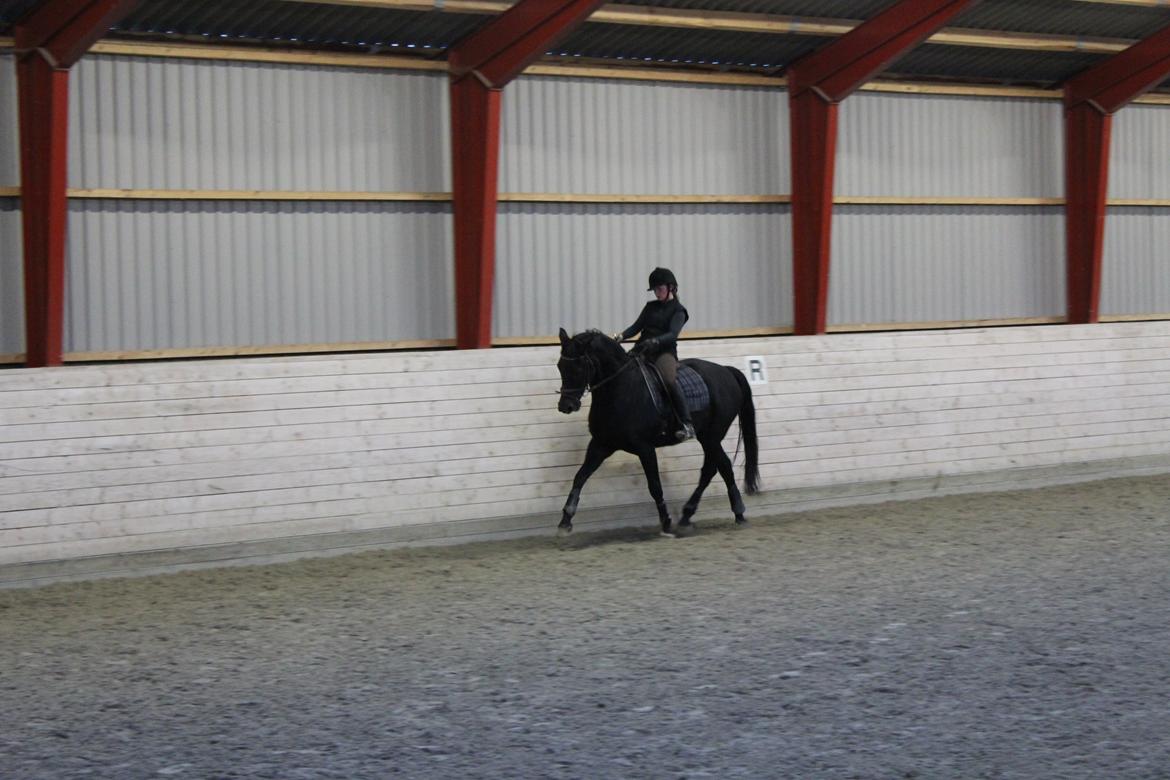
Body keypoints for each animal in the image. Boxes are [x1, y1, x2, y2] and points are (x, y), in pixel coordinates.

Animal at [554, 327, 758, 537]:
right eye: (560, 366)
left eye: (579, 367)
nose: (566, 406)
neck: (620, 390)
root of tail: (726, 370)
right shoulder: (601, 444)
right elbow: (580, 476)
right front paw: (565, 521)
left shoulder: (645, 448)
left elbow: (655, 486)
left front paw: (666, 522)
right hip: (708, 438)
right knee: (710, 469)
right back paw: (686, 517)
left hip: (711, 436)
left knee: (723, 466)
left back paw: (739, 514)